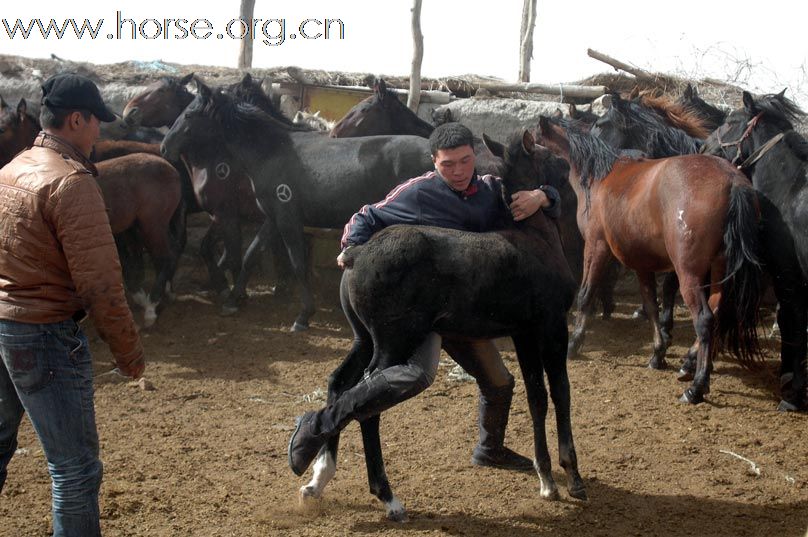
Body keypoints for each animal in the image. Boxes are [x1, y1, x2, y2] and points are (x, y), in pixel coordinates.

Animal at [160, 80, 432, 330]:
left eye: (189, 114)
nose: (164, 147)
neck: (272, 152)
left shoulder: (287, 219)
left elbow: (297, 264)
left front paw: (303, 316)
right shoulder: (272, 217)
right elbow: (251, 254)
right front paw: (233, 300)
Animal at [294, 130, 584, 520]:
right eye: (551, 156)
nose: (569, 169)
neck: (536, 239)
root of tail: (354, 254)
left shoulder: (524, 332)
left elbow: (536, 395)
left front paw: (547, 478)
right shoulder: (552, 326)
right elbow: (560, 392)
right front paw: (570, 477)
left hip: (364, 340)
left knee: (340, 384)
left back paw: (317, 474)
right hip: (392, 343)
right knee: (367, 402)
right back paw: (386, 495)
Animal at [536, 116, 764, 402]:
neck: (602, 175)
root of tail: (733, 181)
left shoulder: (597, 246)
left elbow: (587, 294)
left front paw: (574, 344)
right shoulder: (641, 263)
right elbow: (651, 305)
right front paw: (658, 353)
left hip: (689, 274)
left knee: (704, 319)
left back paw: (697, 385)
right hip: (719, 269)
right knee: (716, 310)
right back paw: (692, 362)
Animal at [700, 91, 808, 410]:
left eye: (730, 121)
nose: (704, 146)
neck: (791, 188)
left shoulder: (788, 276)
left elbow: (792, 321)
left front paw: (792, 393)